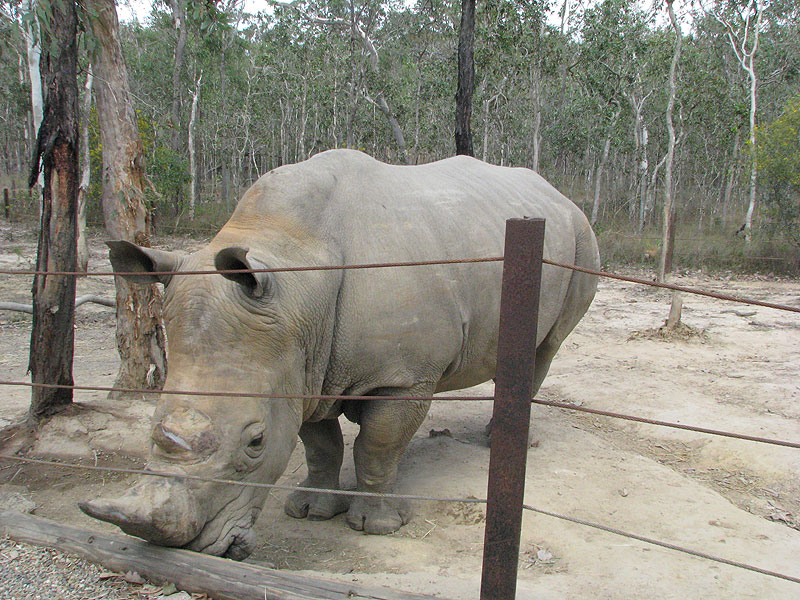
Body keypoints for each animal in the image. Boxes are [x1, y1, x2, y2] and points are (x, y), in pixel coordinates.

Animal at [80, 149, 599, 560]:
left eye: (255, 442)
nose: (181, 549)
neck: (295, 279)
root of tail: (556, 192)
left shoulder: (404, 376)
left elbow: (377, 447)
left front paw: (376, 527)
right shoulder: (302, 367)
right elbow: (321, 445)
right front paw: (310, 511)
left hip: (580, 235)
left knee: (548, 346)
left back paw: (503, 442)